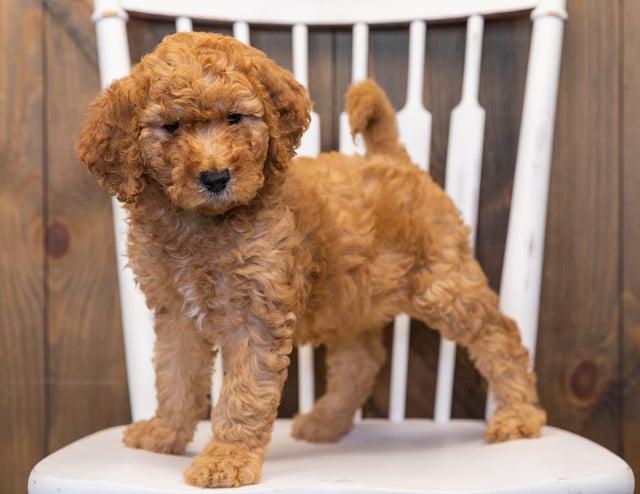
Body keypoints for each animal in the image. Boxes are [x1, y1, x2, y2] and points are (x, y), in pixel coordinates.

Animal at [75, 31, 544, 490]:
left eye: (235, 118)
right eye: (170, 127)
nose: (215, 177)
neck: (201, 223)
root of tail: (391, 158)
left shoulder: (255, 315)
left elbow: (243, 393)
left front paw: (226, 458)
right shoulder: (176, 314)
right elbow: (174, 377)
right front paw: (164, 433)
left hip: (444, 285)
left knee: (500, 335)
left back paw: (518, 414)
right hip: (351, 296)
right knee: (362, 360)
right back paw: (326, 421)